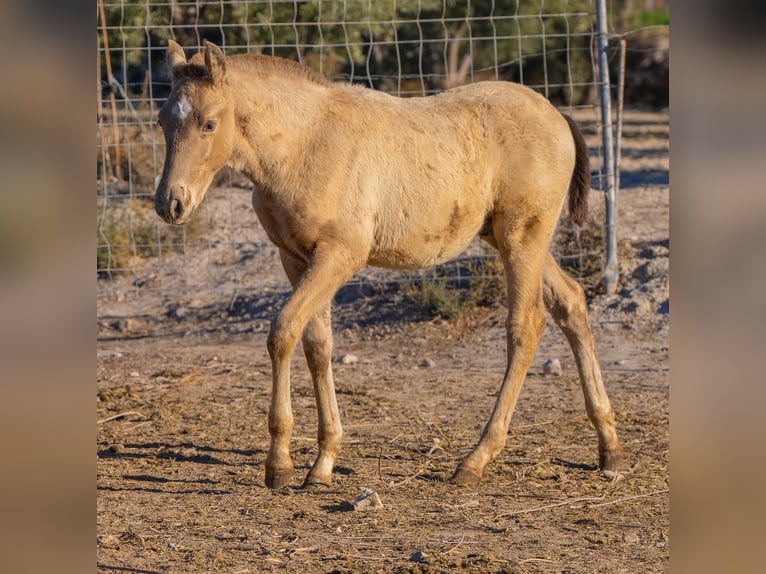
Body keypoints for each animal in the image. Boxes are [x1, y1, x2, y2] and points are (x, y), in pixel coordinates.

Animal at [155, 40, 624, 489]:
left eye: (209, 123)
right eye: (162, 121)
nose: (170, 203)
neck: (304, 145)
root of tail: (558, 114)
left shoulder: (341, 254)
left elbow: (283, 332)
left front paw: (279, 465)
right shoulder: (296, 257)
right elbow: (317, 345)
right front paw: (323, 462)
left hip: (521, 237)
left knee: (525, 325)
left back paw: (476, 459)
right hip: (511, 238)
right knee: (571, 302)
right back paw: (609, 447)